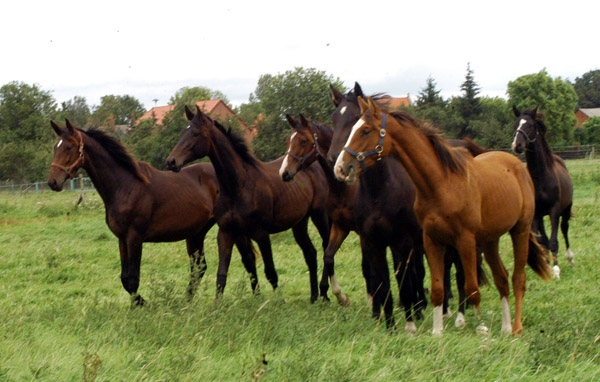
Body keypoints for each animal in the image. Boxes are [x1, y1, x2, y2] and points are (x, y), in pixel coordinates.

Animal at [47, 118, 260, 304]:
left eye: (68, 147)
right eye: (55, 147)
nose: (53, 182)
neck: (125, 186)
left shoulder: (134, 237)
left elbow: (133, 279)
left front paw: (139, 307)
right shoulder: (122, 239)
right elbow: (125, 278)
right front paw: (140, 303)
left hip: (231, 228)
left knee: (248, 259)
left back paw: (257, 297)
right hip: (196, 233)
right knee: (199, 268)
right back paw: (185, 303)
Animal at [166, 105, 330, 302]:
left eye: (196, 134)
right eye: (183, 132)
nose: (171, 161)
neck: (238, 185)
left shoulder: (261, 233)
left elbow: (271, 272)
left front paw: (279, 302)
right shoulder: (227, 232)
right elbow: (222, 274)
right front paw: (217, 305)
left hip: (319, 215)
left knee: (326, 247)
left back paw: (325, 294)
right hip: (299, 223)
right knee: (310, 254)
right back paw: (313, 297)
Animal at [336, 97, 552, 336]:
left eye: (365, 130)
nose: (341, 167)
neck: (441, 184)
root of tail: (516, 164)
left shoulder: (464, 240)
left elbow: (471, 288)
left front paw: (479, 326)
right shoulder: (431, 240)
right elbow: (438, 288)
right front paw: (437, 332)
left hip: (519, 231)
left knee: (517, 279)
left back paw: (515, 328)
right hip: (490, 240)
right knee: (502, 278)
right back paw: (505, 328)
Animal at [512, 106, 576, 280]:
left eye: (530, 125)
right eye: (516, 124)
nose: (517, 145)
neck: (540, 177)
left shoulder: (554, 211)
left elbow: (554, 241)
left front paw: (556, 270)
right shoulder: (535, 214)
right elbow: (541, 240)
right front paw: (545, 267)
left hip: (566, 209)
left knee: (565, 229)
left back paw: (570, 258)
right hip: (540, 216)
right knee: (545, 238)